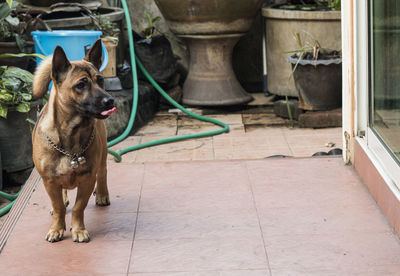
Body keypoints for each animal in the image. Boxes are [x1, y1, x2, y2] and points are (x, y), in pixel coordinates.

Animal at [31, 40, 115, 243]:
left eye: (100, 80)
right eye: (81, 84)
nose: (110, 101)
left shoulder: (87, 180)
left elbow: (78, 207)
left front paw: (78, 229)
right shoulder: (49, 181)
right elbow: (59, 207)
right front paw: (57, 228)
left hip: (102, 156)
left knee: (103, 173)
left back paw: (102, 194)